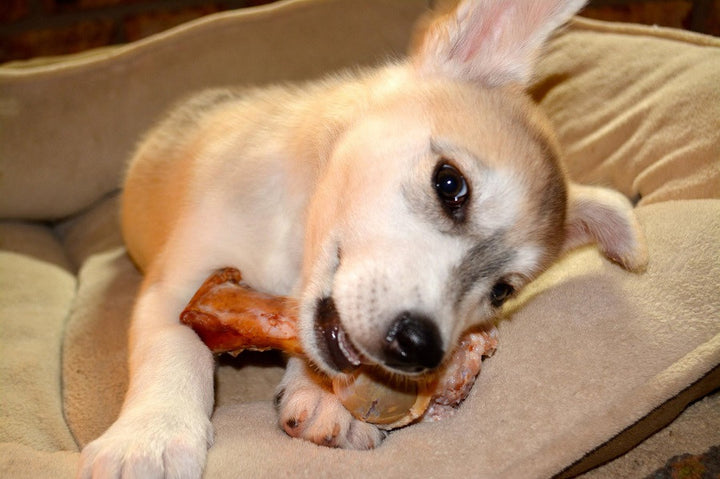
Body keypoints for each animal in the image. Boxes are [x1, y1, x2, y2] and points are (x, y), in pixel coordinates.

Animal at [79, 0, 648, 478]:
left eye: (502, 291)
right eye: (450, 184)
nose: (420, 349)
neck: (294, 244)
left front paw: (328, 399)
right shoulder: (180, 282)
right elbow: (175, 348)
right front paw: (149, 439)